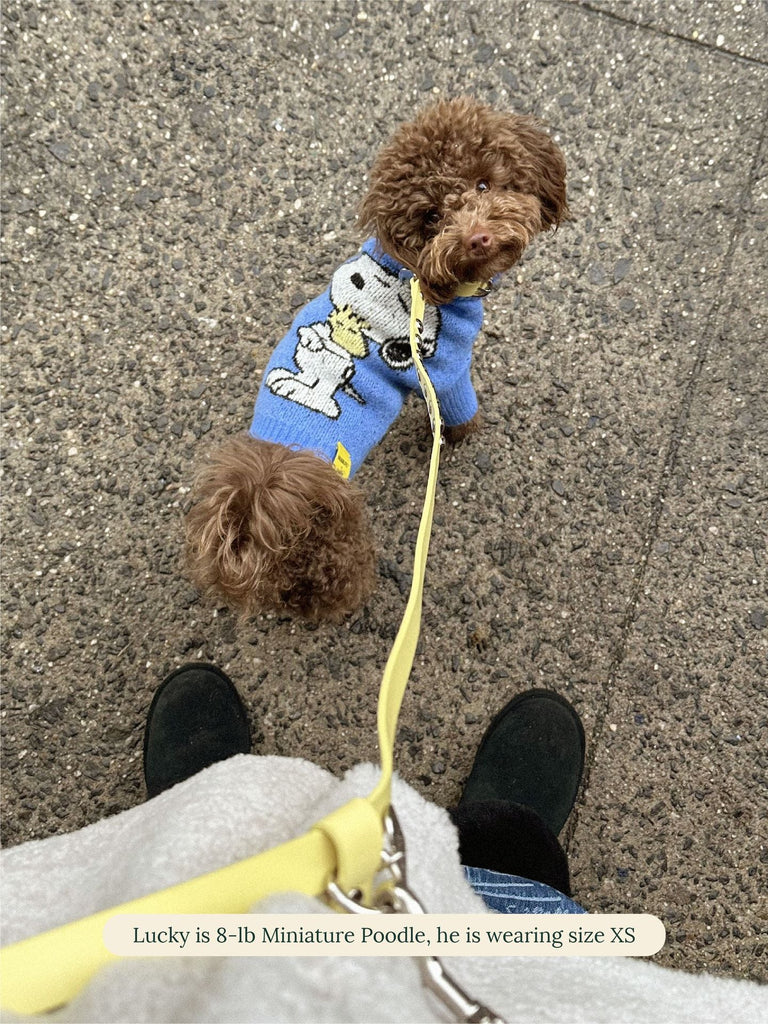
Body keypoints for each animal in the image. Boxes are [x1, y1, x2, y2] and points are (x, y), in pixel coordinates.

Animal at [185, 97, 565, 614]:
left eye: (484, 184)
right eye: (432, 218)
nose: (477, 238)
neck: (416, 276)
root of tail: (256, 505)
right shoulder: (447, 371)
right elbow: (459, 411)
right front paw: (464, 434)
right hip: (335, 547)